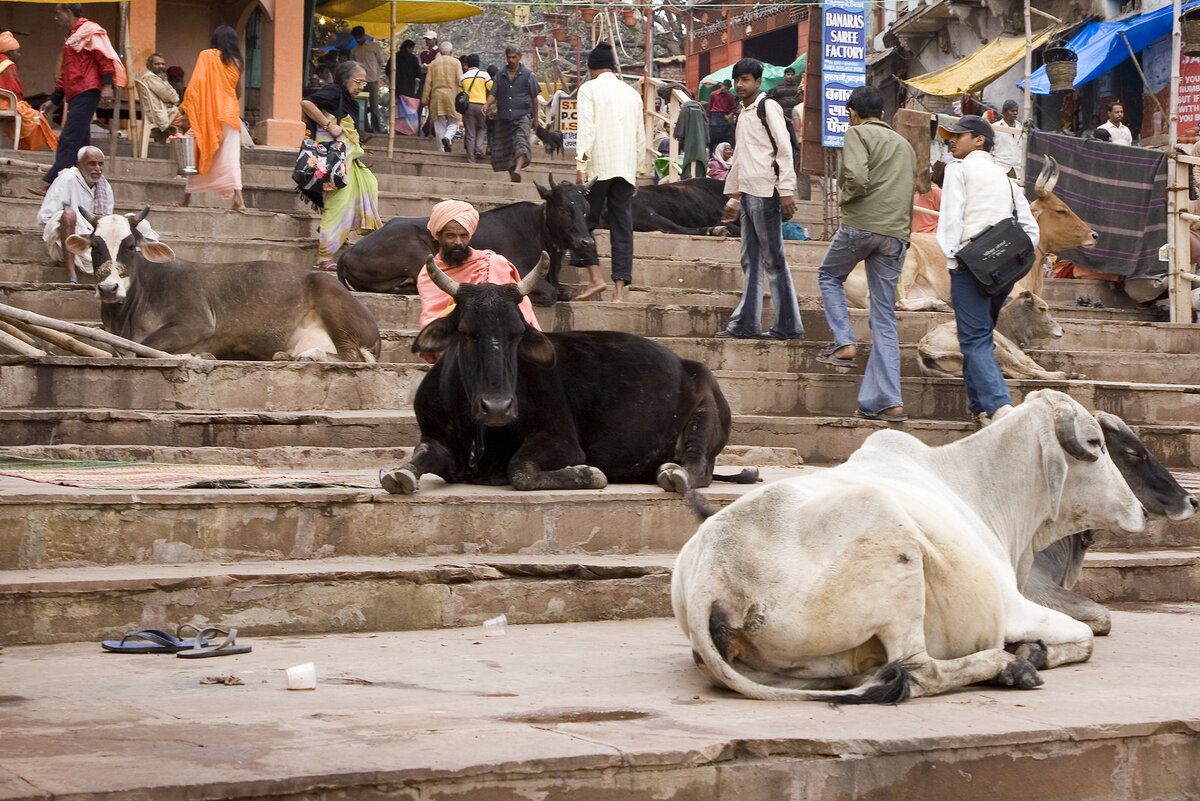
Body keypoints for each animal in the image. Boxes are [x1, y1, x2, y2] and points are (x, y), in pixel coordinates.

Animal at [64, 211, 379, 364]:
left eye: (130, 245)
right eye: (95, 246)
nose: (108, 288)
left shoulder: (197, 323)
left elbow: (143, 347)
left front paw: (196, 355)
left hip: (333, 302)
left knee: (353, 356)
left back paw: (308, 356)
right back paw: (287, 355)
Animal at [336, 179, 592, 304]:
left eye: (586, 208)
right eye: (564, 209)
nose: (587, 242)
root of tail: (347, 254)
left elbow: (566, 291)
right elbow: (550, 293)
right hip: (418, 255)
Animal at [381, 255, 758, 494]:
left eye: (517, 333)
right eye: (466, 332)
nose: (497, 407)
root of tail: (693, 367)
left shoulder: (560, 440)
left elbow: (521, 471)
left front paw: (587, 474)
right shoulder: (436, 439)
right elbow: (412, 463)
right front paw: (399, 474)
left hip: (705, 417)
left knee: (698, 467)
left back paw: (675, 474)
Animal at [672, 390, 1147, 705]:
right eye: (1098, 444)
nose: (1140, 509)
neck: (979, 485)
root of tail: (709, 576)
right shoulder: (1013, 606)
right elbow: (1087, 635)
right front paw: (1034, 651)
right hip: (896, 552)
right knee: (920, 671)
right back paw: (1009, 666)